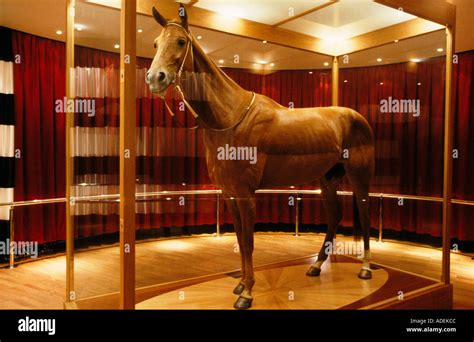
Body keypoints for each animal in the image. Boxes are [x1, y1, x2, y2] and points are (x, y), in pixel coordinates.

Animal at [146, 4, 376, 310]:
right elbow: (241, 241)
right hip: (327, 179)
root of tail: (357, 117)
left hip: (360, 176)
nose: (154, 78)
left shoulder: (246, 195)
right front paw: (241, 285)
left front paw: (247, 293)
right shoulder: (230, 195)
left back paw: (365, 268)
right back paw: (316, 266)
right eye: (156, 43)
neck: (230, 118)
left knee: (364, 213)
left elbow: (249, 242)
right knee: (334, 216)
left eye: (181, 42)